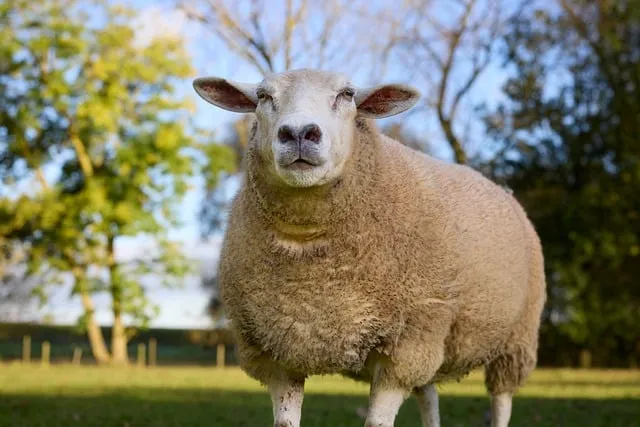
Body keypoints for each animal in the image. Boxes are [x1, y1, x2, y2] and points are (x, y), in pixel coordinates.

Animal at [193, 69, 546, 427]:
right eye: (263, 96)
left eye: (347, 94)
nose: (299, 133)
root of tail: (504, 191)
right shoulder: (278, 350)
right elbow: (285, 422)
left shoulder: (402, 348)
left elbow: (377, 421)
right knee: (428, 394)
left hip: (510, 340)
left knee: (501, 400)